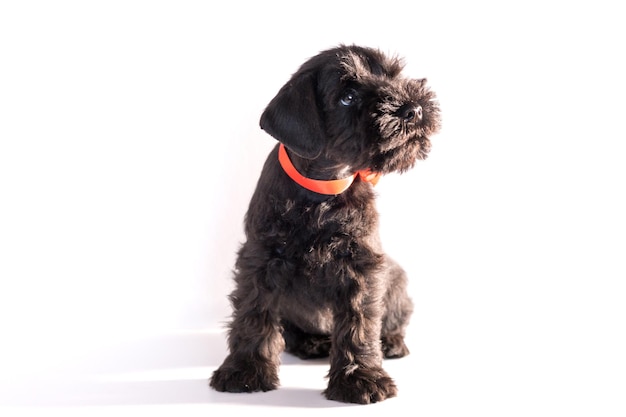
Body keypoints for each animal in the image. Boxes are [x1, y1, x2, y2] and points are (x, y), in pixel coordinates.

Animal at [208, 44, 438, 404]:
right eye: (347, 96)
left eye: (393, 75)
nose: (413, 109)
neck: (322, 192)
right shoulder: (259, 261)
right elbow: (252, 315)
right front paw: (244, 371)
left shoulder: (361, 268)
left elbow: (360, 324)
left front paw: (360, 378)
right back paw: (310, 343)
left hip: (397, 280)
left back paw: (391, 342)